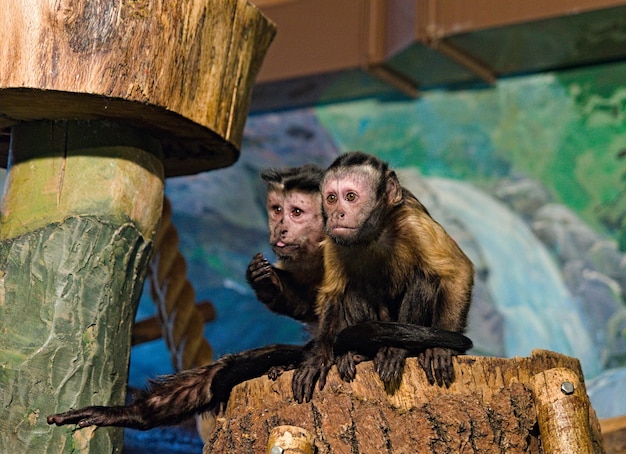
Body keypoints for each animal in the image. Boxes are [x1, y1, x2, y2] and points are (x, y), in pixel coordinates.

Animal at [292, 153, 472, 404]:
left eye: (350, 197)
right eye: (331, 198)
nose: (337, 214)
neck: (375, 233)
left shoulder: (415, 223)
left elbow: (457, 272)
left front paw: (440, 350)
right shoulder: (333, 239)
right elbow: (333, 294)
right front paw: (319, 356)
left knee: (424, 278)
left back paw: (396, 349)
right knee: (351, 288)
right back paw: (359, 353)